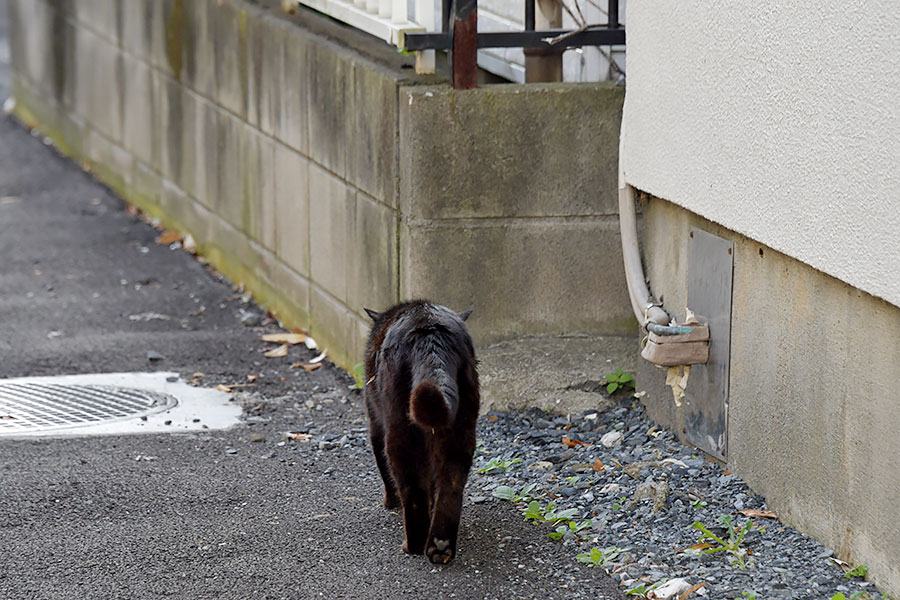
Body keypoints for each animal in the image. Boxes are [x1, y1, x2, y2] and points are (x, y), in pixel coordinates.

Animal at [364, 302, 482, 564]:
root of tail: (431, 338)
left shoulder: (375, 424)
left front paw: (390, 502)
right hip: (461, 430)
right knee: (450, 487)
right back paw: (440, 546)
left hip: (399, 432)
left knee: (411, 487)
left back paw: (414, 545)